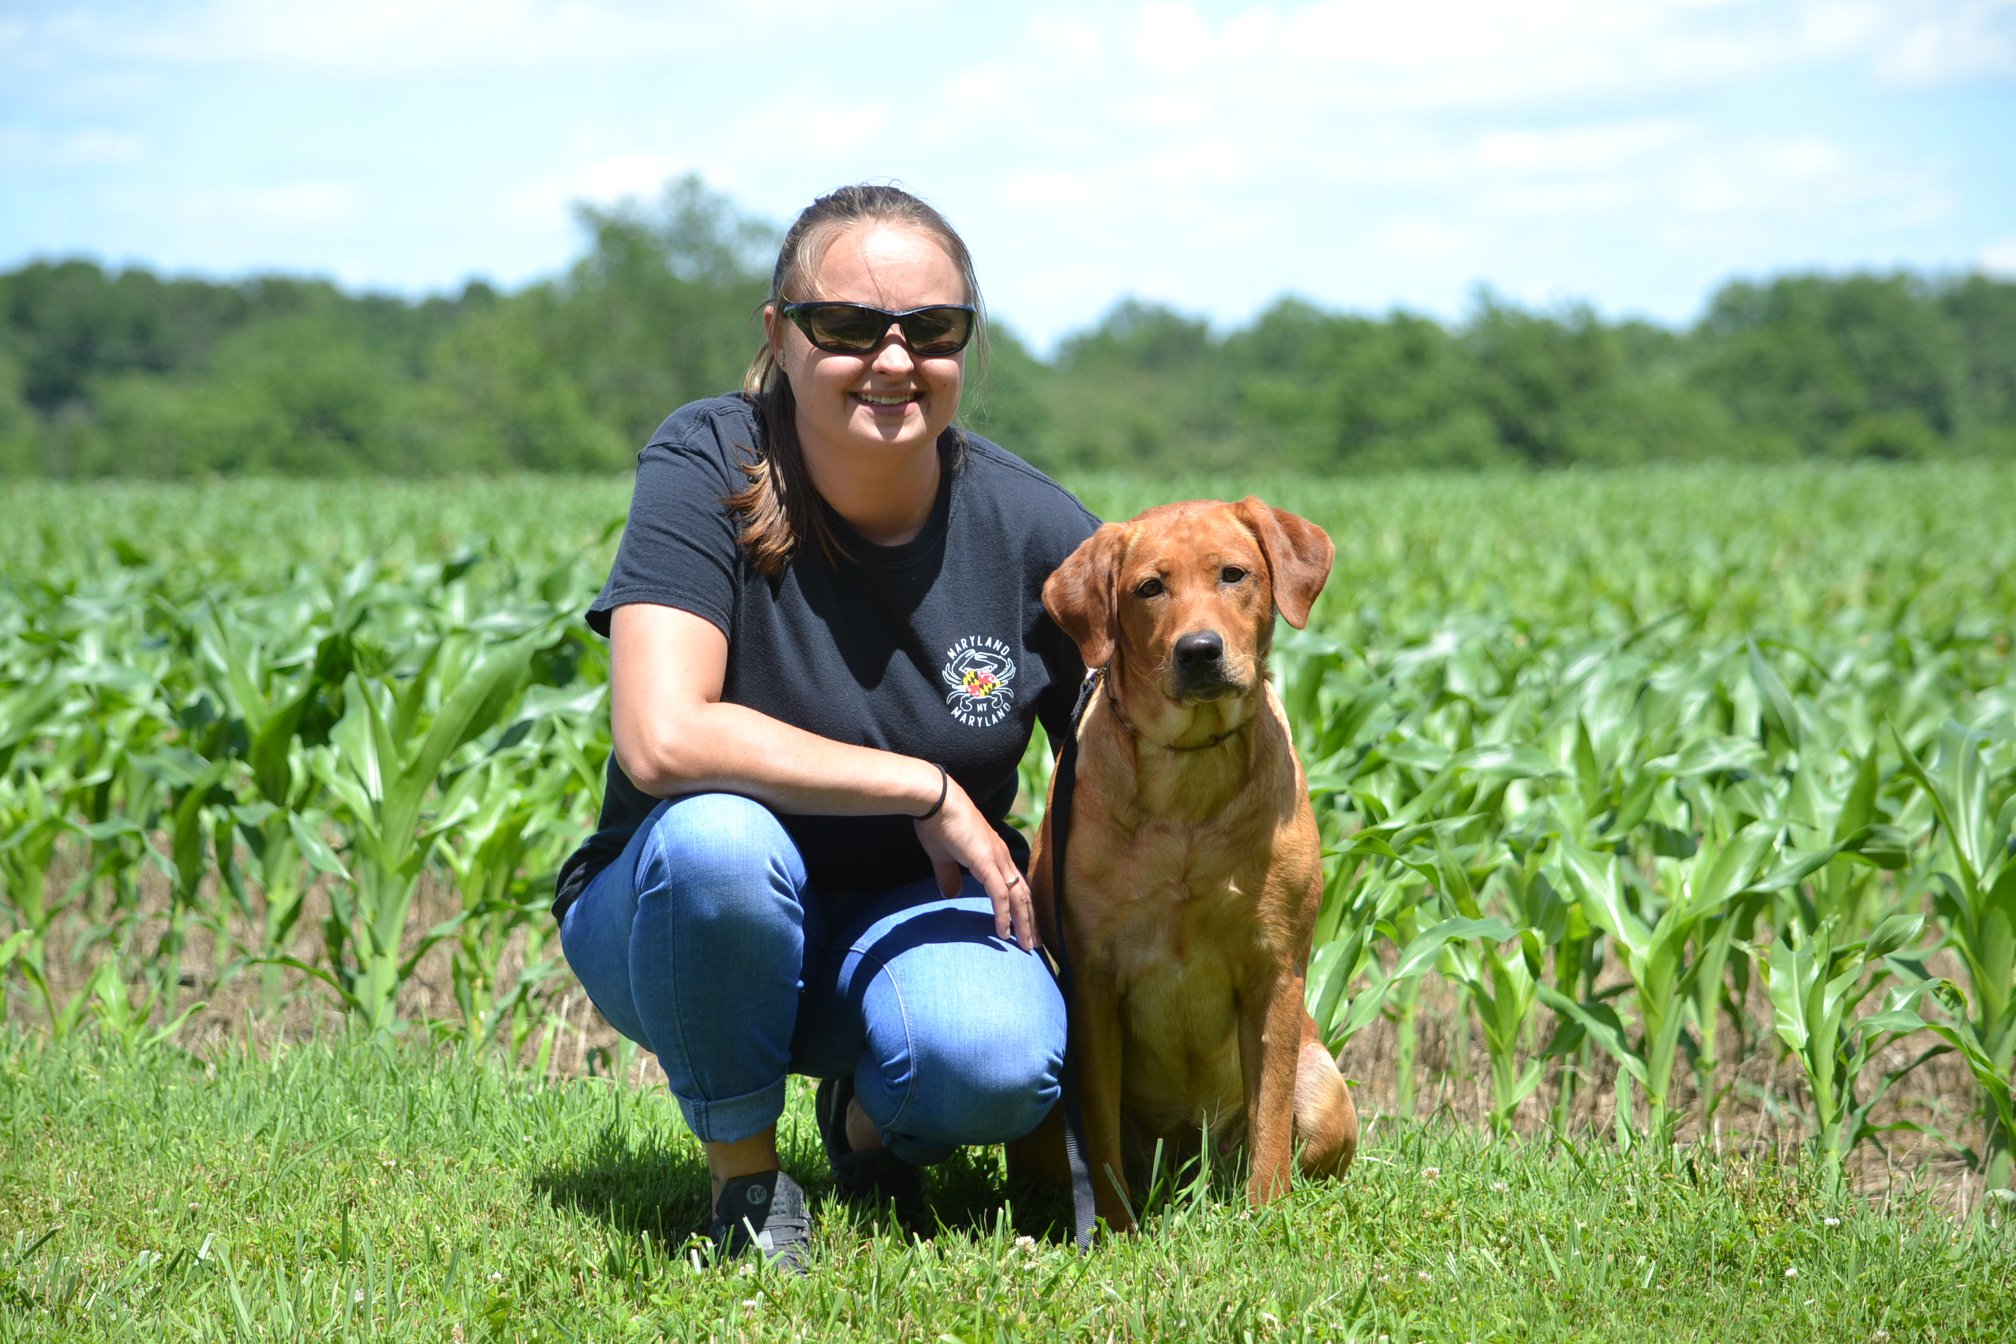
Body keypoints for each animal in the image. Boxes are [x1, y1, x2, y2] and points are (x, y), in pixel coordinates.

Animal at [1016, 499, 1362, 1233]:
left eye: (1233, 574)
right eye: (1150, 588)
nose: (1199, 650)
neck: (1190, 775)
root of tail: (1185, 1165)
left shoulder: (1275, 968)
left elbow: (1269, 1119)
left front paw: (1267, 1216)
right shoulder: (1092, 979)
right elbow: (1099, 1134)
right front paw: (1114, 1227)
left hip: (1325, 1090)